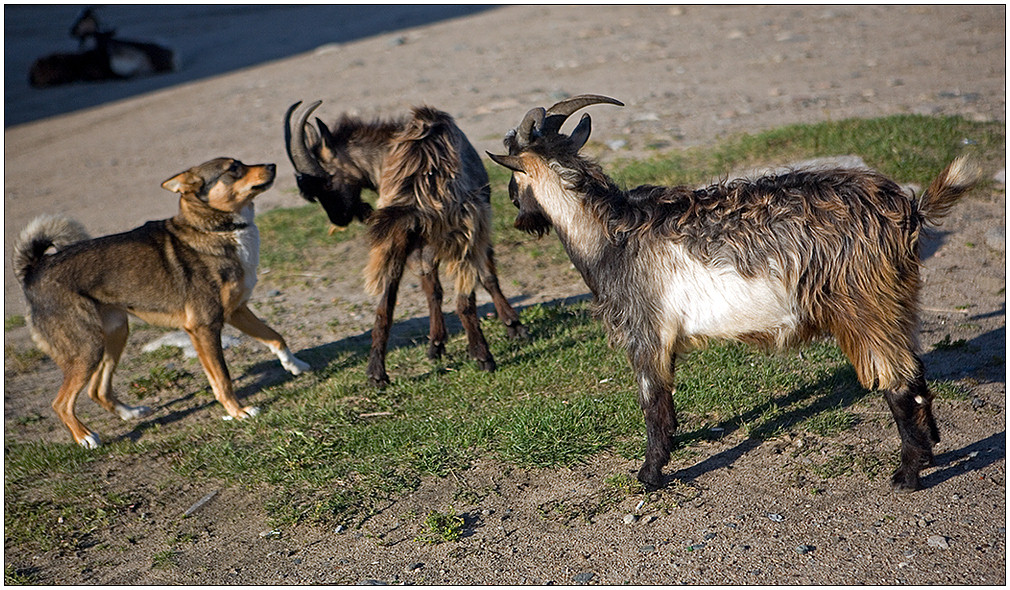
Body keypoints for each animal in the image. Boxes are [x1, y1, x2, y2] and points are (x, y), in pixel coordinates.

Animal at [11, 156, 309, 446]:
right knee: (60, 403)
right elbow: (223, 379)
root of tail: (34, 269)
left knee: (97, 390)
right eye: (233, 168)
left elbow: (275, 337)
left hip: (115, 333)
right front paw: (238, 412)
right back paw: (85, 437)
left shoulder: (236, 311)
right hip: (87, 348)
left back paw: (130, 413)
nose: (272, 165)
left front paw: (295, 365)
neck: (214, 230)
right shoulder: (204, 327)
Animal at [282, 101, 525, 387]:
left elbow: (432, 289)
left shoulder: (417, 242)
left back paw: (376, 375)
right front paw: (513, 326)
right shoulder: (477, 221)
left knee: (385, 307)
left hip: (397, 242)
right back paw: (483, 357)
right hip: (460, 235)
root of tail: (420, 185)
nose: (339, 218)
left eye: (328, 179)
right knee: (464, 299)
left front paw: (436, 344)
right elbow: (485, 276)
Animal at [488, 94, 977, 490]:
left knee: (898, 380)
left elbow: (652, 401)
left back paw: (909, 474)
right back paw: (931, 447)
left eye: (513, 176)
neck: (609, 234)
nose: (516, 211)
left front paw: (650, 474)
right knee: (916, 370)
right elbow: (668, 402)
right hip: (898, 300)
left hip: (864, 304)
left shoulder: (645, 329)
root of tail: (907, 209)